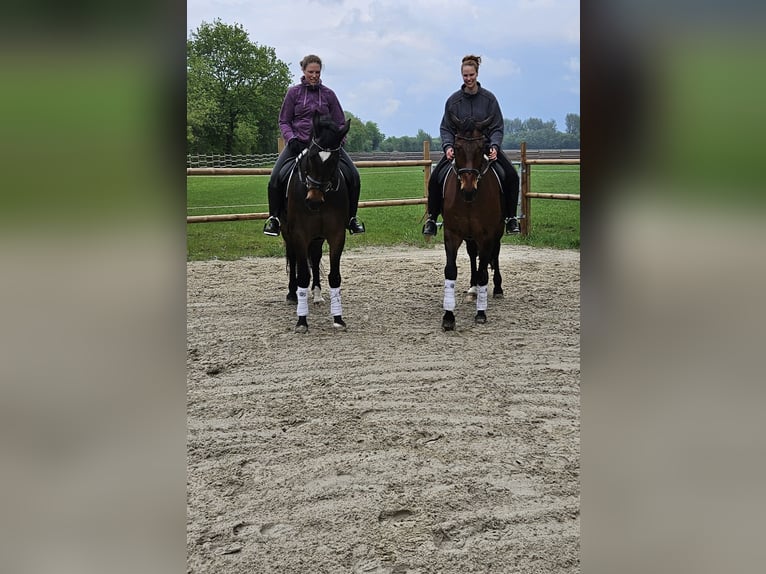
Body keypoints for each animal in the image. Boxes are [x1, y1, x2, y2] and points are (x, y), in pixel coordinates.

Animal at [282, 113, 354, 336]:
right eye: (312, 156)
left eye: (334, 160)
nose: (313, 200)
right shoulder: (299, 234)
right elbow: (303, 275)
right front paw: (302, 321)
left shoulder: (336, 235)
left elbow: (335, 276)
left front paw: (338, 318)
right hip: (288, 233)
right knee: (294, 259)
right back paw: (293, 294)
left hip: (317, 237)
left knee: (314, 257)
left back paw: (317, 295)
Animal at [440, 117, 508, 330]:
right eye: (457, 147)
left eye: (482, 148)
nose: (468, 189)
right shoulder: (452, 234)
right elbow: (451, 271)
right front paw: (448, 316)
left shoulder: (486, 236)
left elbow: (483, 273)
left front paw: (481, 313)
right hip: (470, 236)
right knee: (472, 255)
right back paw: (472, 289)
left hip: (497, 232)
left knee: (495, 255)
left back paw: (497, 288)